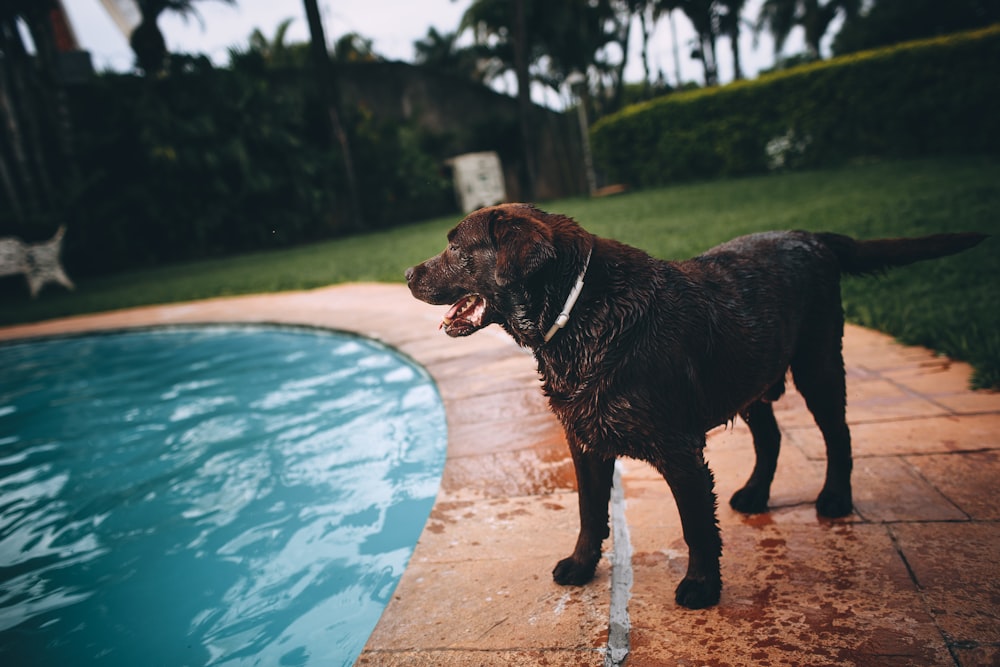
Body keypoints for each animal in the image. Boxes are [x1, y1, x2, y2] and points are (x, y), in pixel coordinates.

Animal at [404, 205, 984, 612]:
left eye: (455, 247)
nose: (408, 273)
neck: (580, 314)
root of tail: (810, 235)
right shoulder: (585, 440)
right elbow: (590, 512)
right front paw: (581, 565)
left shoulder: (678, 449)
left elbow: (697, 526)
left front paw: (702, 586)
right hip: (751, 375)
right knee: (771, 436)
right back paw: (755, 494)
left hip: (817, 363)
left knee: (837, 433)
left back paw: (835, 498)